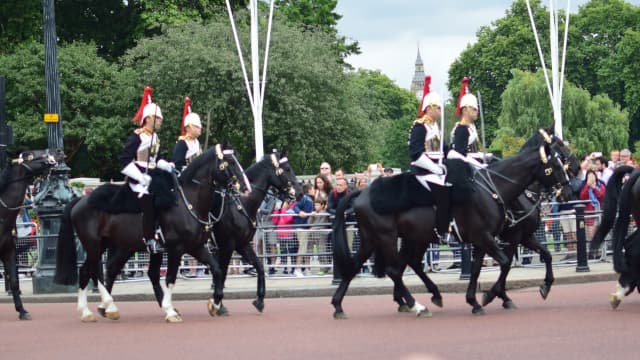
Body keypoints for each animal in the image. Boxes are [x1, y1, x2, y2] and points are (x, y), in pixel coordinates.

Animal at [55, 144, 246, 324]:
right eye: (229, 162)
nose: (244, 187)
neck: (188, 203)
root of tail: (81, 199)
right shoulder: (176, 249)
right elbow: (170, 278)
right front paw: (170, 311)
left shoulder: (196, 247)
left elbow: (217, 270)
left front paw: (215, 304)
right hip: (94, 245)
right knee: (94, 271)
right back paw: (104, 306)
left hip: (113, 245)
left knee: (91, 270)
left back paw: (93, 311)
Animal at [330, 129, 568, 318]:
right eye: (556, 163)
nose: (568, 189)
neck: (494, 188)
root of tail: (362, 192)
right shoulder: (492, 236)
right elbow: (505, 262)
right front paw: (491, 295)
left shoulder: (491, 238)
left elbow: (480, 268)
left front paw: (476, 301)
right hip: (386, 237)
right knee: (394, 270)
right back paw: (416, 305)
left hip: (383, 238)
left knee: (364, 265)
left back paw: (340, 305)